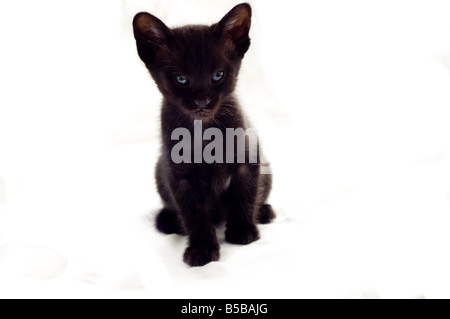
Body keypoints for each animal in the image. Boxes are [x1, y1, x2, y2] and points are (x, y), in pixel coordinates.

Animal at [133, 3, 274, 268]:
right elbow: (193, 215)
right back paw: (167, 221)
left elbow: (244, 193)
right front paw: (202, 250)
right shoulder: (180, 176)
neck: (204, 131)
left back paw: (263, 212)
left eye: (217, 75)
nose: (202, 102)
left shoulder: (248, 157)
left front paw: (242, 232)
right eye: (181, 79)